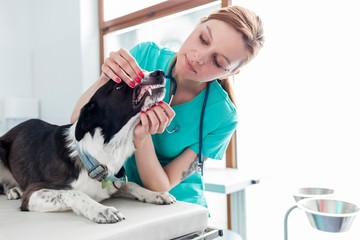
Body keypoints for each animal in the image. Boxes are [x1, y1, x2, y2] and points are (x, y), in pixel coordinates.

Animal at [0, 69, 176, 223]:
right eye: (118, 86)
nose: (159, 72)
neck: (95, 156)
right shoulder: (33, 193)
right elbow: (74, 193)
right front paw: (102, 210)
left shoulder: (113, 184)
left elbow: (131, 184)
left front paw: (155, 194)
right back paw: (13, 189)